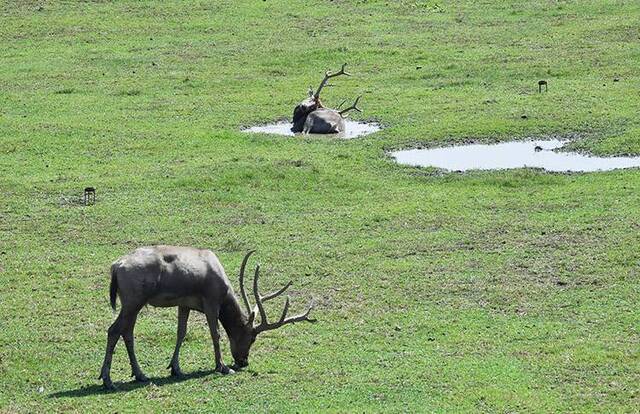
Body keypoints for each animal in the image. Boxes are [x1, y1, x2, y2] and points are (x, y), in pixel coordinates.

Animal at [98, 247, 316, 390]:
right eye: (252, 338)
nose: (243, 361)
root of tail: (116, 267)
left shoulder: (184, 304)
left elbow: (181, 332)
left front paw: (175, 368)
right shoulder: (211, 302)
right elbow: (215, 333)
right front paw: (222, 366)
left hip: (132, 303)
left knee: (127, 332)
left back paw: (139, 374)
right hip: (133, 300)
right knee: (114, 330)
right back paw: (107, 379)